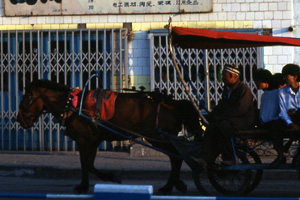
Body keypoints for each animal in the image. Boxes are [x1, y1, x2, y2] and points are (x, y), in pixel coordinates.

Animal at [16, 79, 202, 194]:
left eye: (26, 98)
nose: (19, 119)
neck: (72, 105)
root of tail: (174, 103)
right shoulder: (93, 141)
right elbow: (89, 165)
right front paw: (93, 182)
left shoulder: (84, 140)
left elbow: (86, 165)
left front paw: (95, 182)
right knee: (177, 158)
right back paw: (176, 184)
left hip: (160, 138)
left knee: (176, 158)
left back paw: (169, 186)